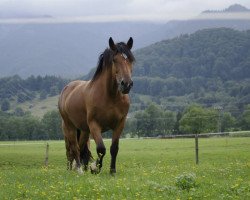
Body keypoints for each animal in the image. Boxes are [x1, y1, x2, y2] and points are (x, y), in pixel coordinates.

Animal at [58, 37, 135, 175]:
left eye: (130, 60)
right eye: (115, 60)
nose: (126, 84)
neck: (110, 96)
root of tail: (66, 89)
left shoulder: (120, 124)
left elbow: (114, 148)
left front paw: (112, 171)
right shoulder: (94, 125)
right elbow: (101, 148)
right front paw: (95, 168)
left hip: (83, 131)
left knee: (81, 148)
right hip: (70, 127)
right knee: (74, 149)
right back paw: (79, 170)